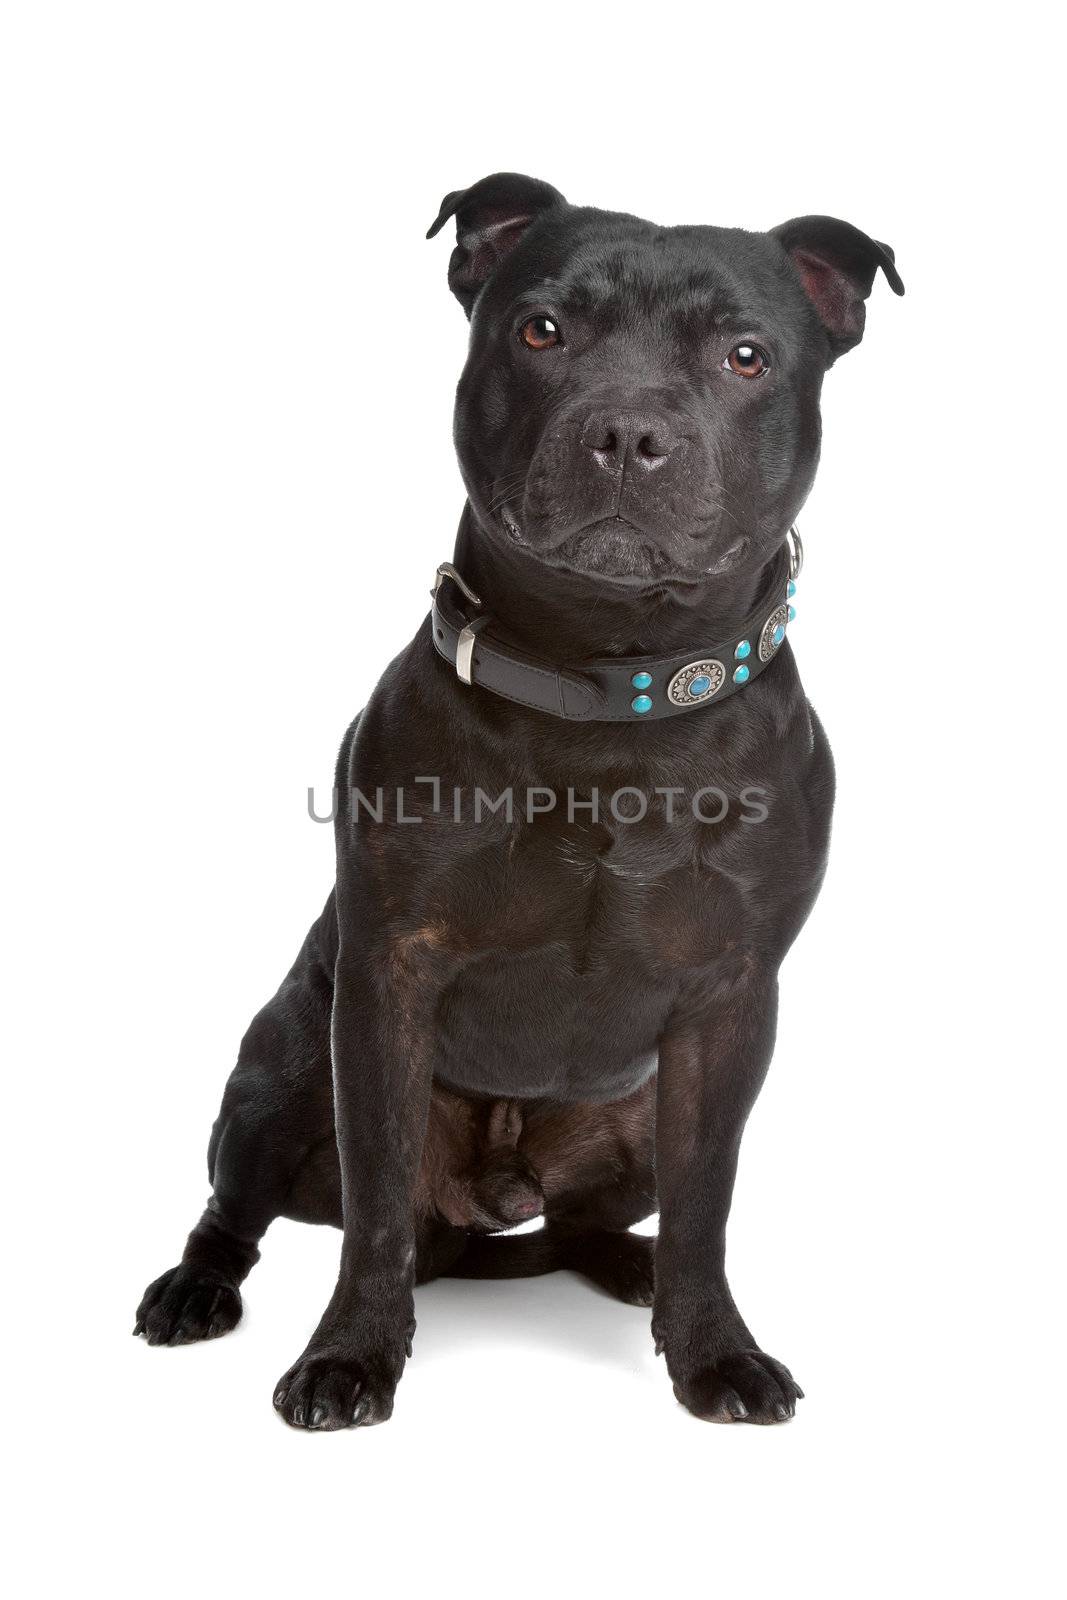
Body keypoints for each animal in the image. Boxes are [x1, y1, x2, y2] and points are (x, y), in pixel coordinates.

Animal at [133, 172, 902, 1427]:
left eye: (744, 354)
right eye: (540, 330)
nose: (627, 433)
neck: (606, 690)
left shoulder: (731, 1004)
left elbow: (706, 1205)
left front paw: (713, 1349)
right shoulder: (387, 980)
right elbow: (376, 1204)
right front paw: (348, 1353)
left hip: (638, 1113)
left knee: (597, 1218)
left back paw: (631, 1272)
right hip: (277, 1077)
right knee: (244, 1211)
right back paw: (197, 1287)